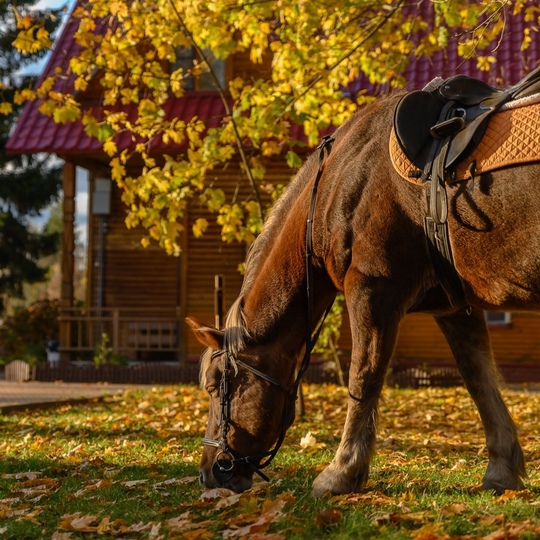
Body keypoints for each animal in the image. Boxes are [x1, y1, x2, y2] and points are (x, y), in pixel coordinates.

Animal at [188, 89, 536, 498]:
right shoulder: (454, 307)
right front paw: (501, 468)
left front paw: (342, 471)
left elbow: (363, 377)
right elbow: (477, 377)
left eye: (215, 386)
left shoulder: (372, 290)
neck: (341, 180)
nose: (209, 472)